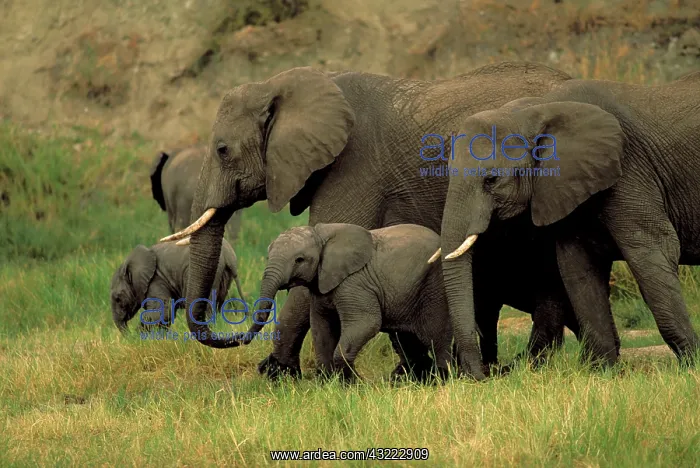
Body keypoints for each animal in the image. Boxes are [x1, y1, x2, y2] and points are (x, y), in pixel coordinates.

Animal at [110, 238, 244, 333]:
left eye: (118, 299)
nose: (129, 335)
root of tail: (229, 256)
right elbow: (168, 313)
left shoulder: (156, 279)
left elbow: (164, 310)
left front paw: (138, 335)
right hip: (224, 276)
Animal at [245, 223, 455, 381]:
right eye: (267, 256)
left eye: (299, 260)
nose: (242, 340)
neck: (321, 235)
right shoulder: (321, 287)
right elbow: (321, 326)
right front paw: (328, 382)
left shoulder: (355, 284)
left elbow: (366, 323)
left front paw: (352, 383)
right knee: (406, 340)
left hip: (434, 288)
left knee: (437, 337)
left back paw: (443, 379)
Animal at [436, 71, 700, 377]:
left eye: (491, 180)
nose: (482, 375)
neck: (535, 110)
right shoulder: (565, 185)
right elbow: (577, 267)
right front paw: (601, 373)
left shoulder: (629, 169)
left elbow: (651, 251)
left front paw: (692, 365)